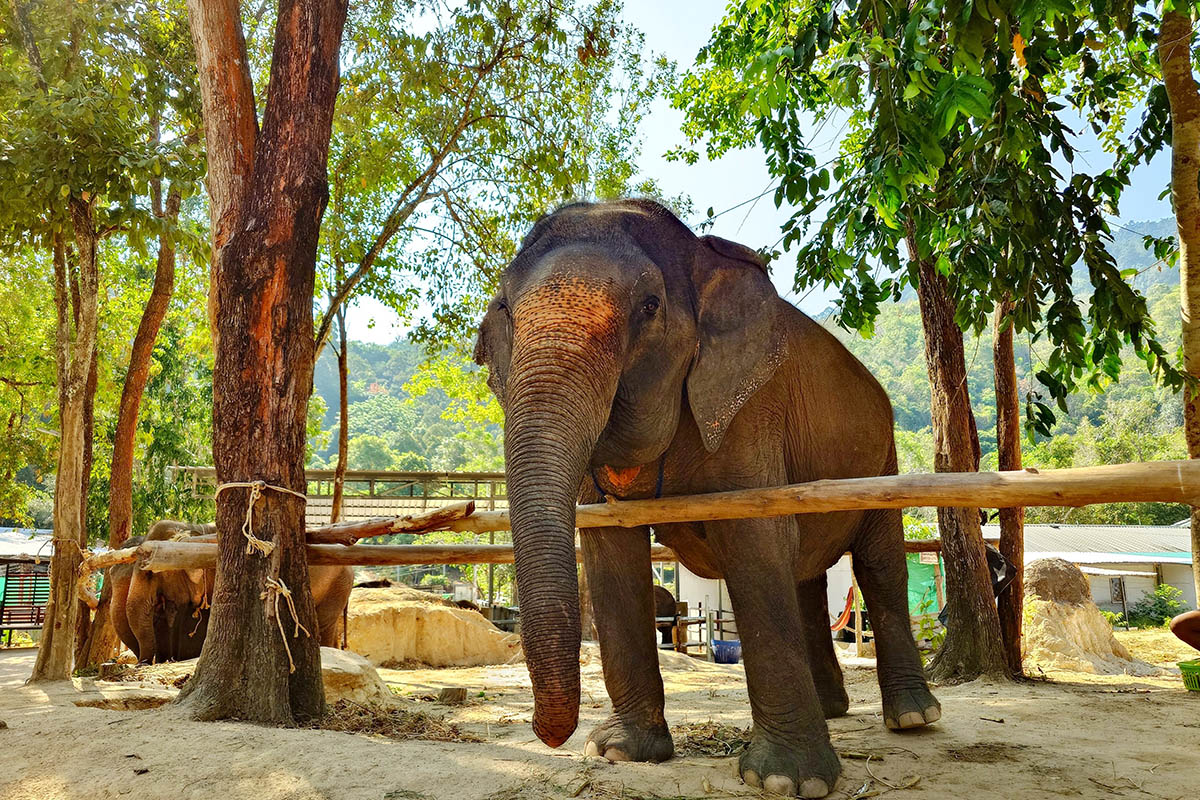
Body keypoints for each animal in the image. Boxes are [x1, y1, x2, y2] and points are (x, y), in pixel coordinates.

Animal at [473, 199, 940, 798]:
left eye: (649, 307)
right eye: (504, 308)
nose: (549, 735)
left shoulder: (750, 406)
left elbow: (754, 538)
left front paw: (789, 781)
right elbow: (610, 550)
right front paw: (621, 751)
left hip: (882, 455)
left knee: (879, 565)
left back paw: (911, 718)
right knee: (806, 575)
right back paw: (833, 709)